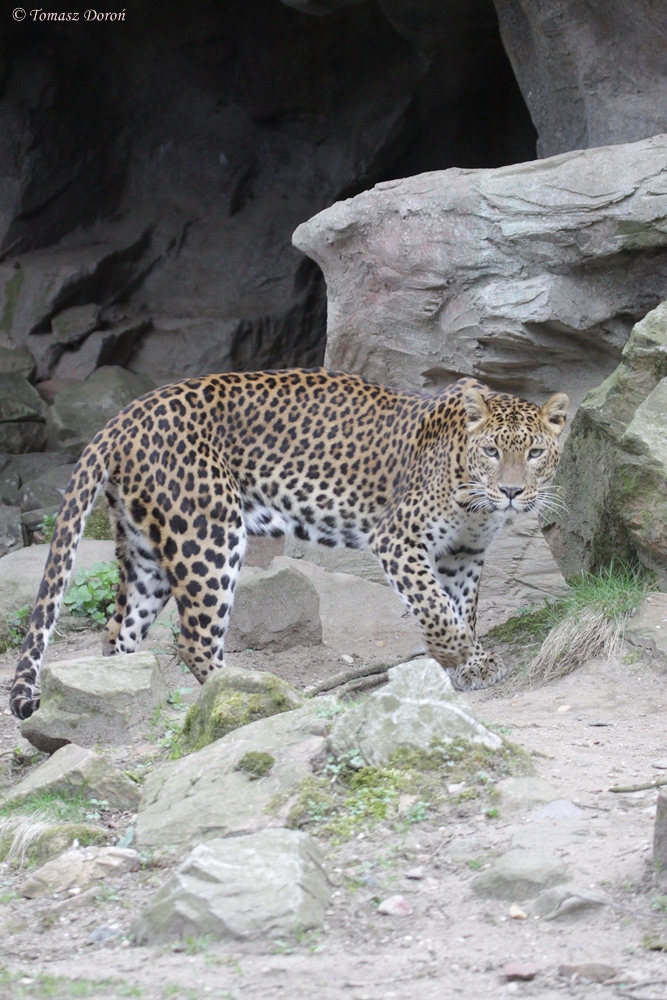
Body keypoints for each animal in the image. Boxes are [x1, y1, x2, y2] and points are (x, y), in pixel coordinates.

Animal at [9, 368, 568, 720]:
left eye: (535, 453)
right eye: (492, 451)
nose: (512, 492)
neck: (475, 500)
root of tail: (124, 416)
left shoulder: (462, 555)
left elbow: (459, 609)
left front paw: (462, 663)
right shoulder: (398, 539)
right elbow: (437, 608)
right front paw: (457, 657)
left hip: (145, 552)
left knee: (117, 633)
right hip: (208, 533)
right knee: (194, 639)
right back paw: (261, 699)